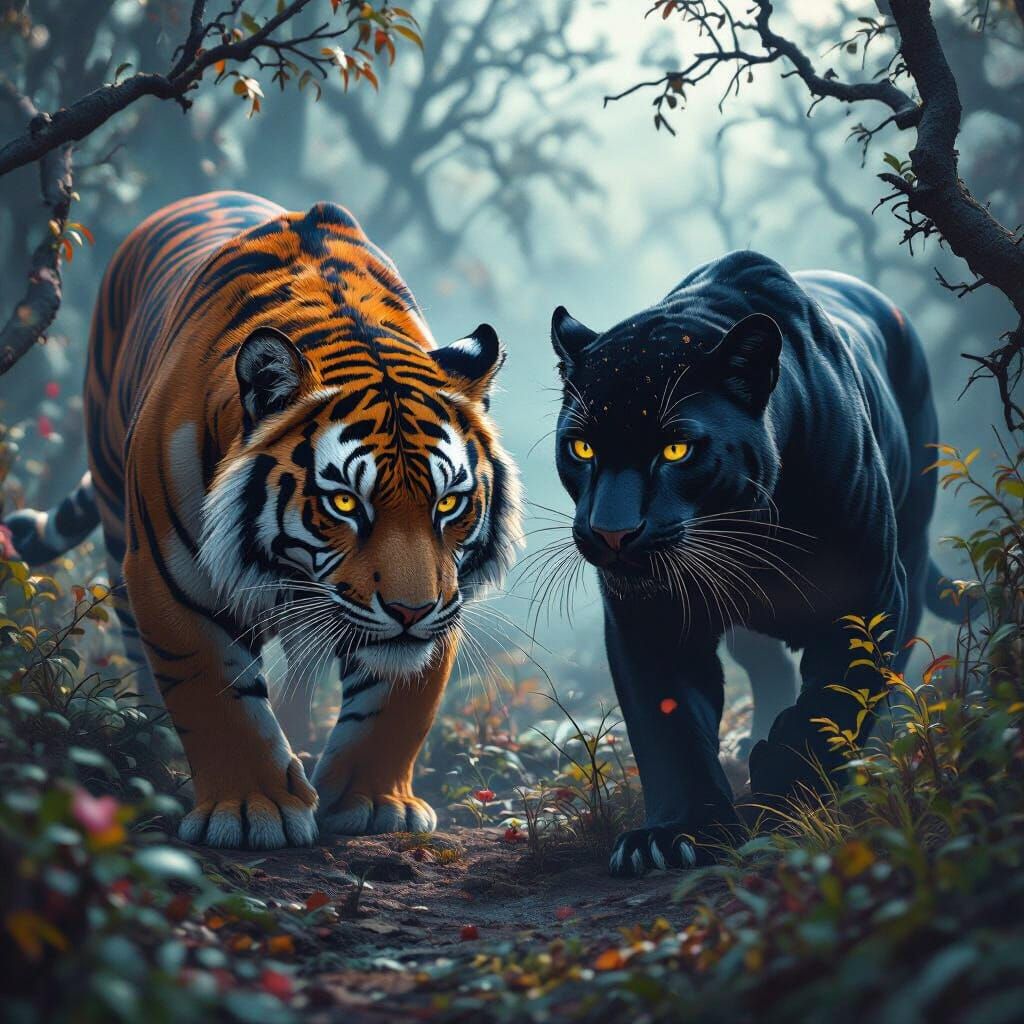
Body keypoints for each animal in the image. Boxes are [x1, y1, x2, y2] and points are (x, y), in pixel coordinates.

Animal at [5, 191, 522, 849]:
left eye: (448, 503)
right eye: (345, 503)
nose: (411, 611)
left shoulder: (446, 588)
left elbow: (399, 704)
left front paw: (374, 803)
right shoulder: (172, 580)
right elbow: (217, 698)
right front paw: (252, 810)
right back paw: (158, 751)